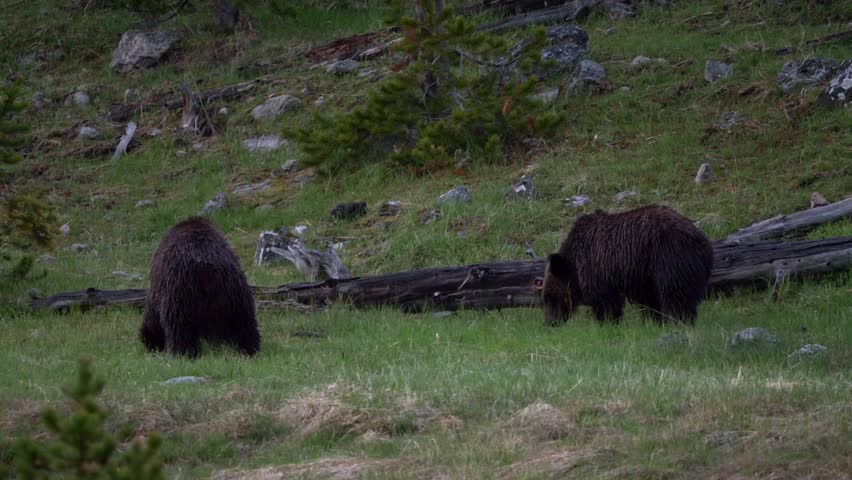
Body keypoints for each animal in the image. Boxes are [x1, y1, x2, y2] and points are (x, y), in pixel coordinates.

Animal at [140, 217, 260, 358]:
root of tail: (205, 266)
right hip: (235, 291)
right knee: (244, 323)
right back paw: (249, 349)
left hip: (180, 292)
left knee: (179, 326)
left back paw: (182, 352)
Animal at [542, 205, 713, 326]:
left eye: (550, 296)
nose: (550, 323)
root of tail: (700, 238)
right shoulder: (645, 278)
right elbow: (650, 302)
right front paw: (652, 322)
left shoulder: (598, 267)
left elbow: (606, 302)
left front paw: (607, 323)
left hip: (670, 257)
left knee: (676, 295)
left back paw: (677, 321)